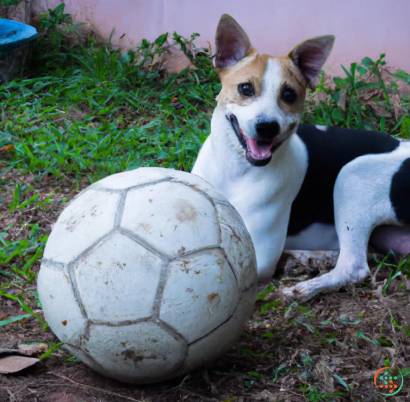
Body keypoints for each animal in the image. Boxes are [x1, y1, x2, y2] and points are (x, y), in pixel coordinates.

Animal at [192, 13, 410, 302]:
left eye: (289, 95)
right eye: (246, 88)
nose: (267, 127)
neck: (236, 171)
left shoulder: (261, 256)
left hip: (353, 175)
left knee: (354, 266)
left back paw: (305, 286)